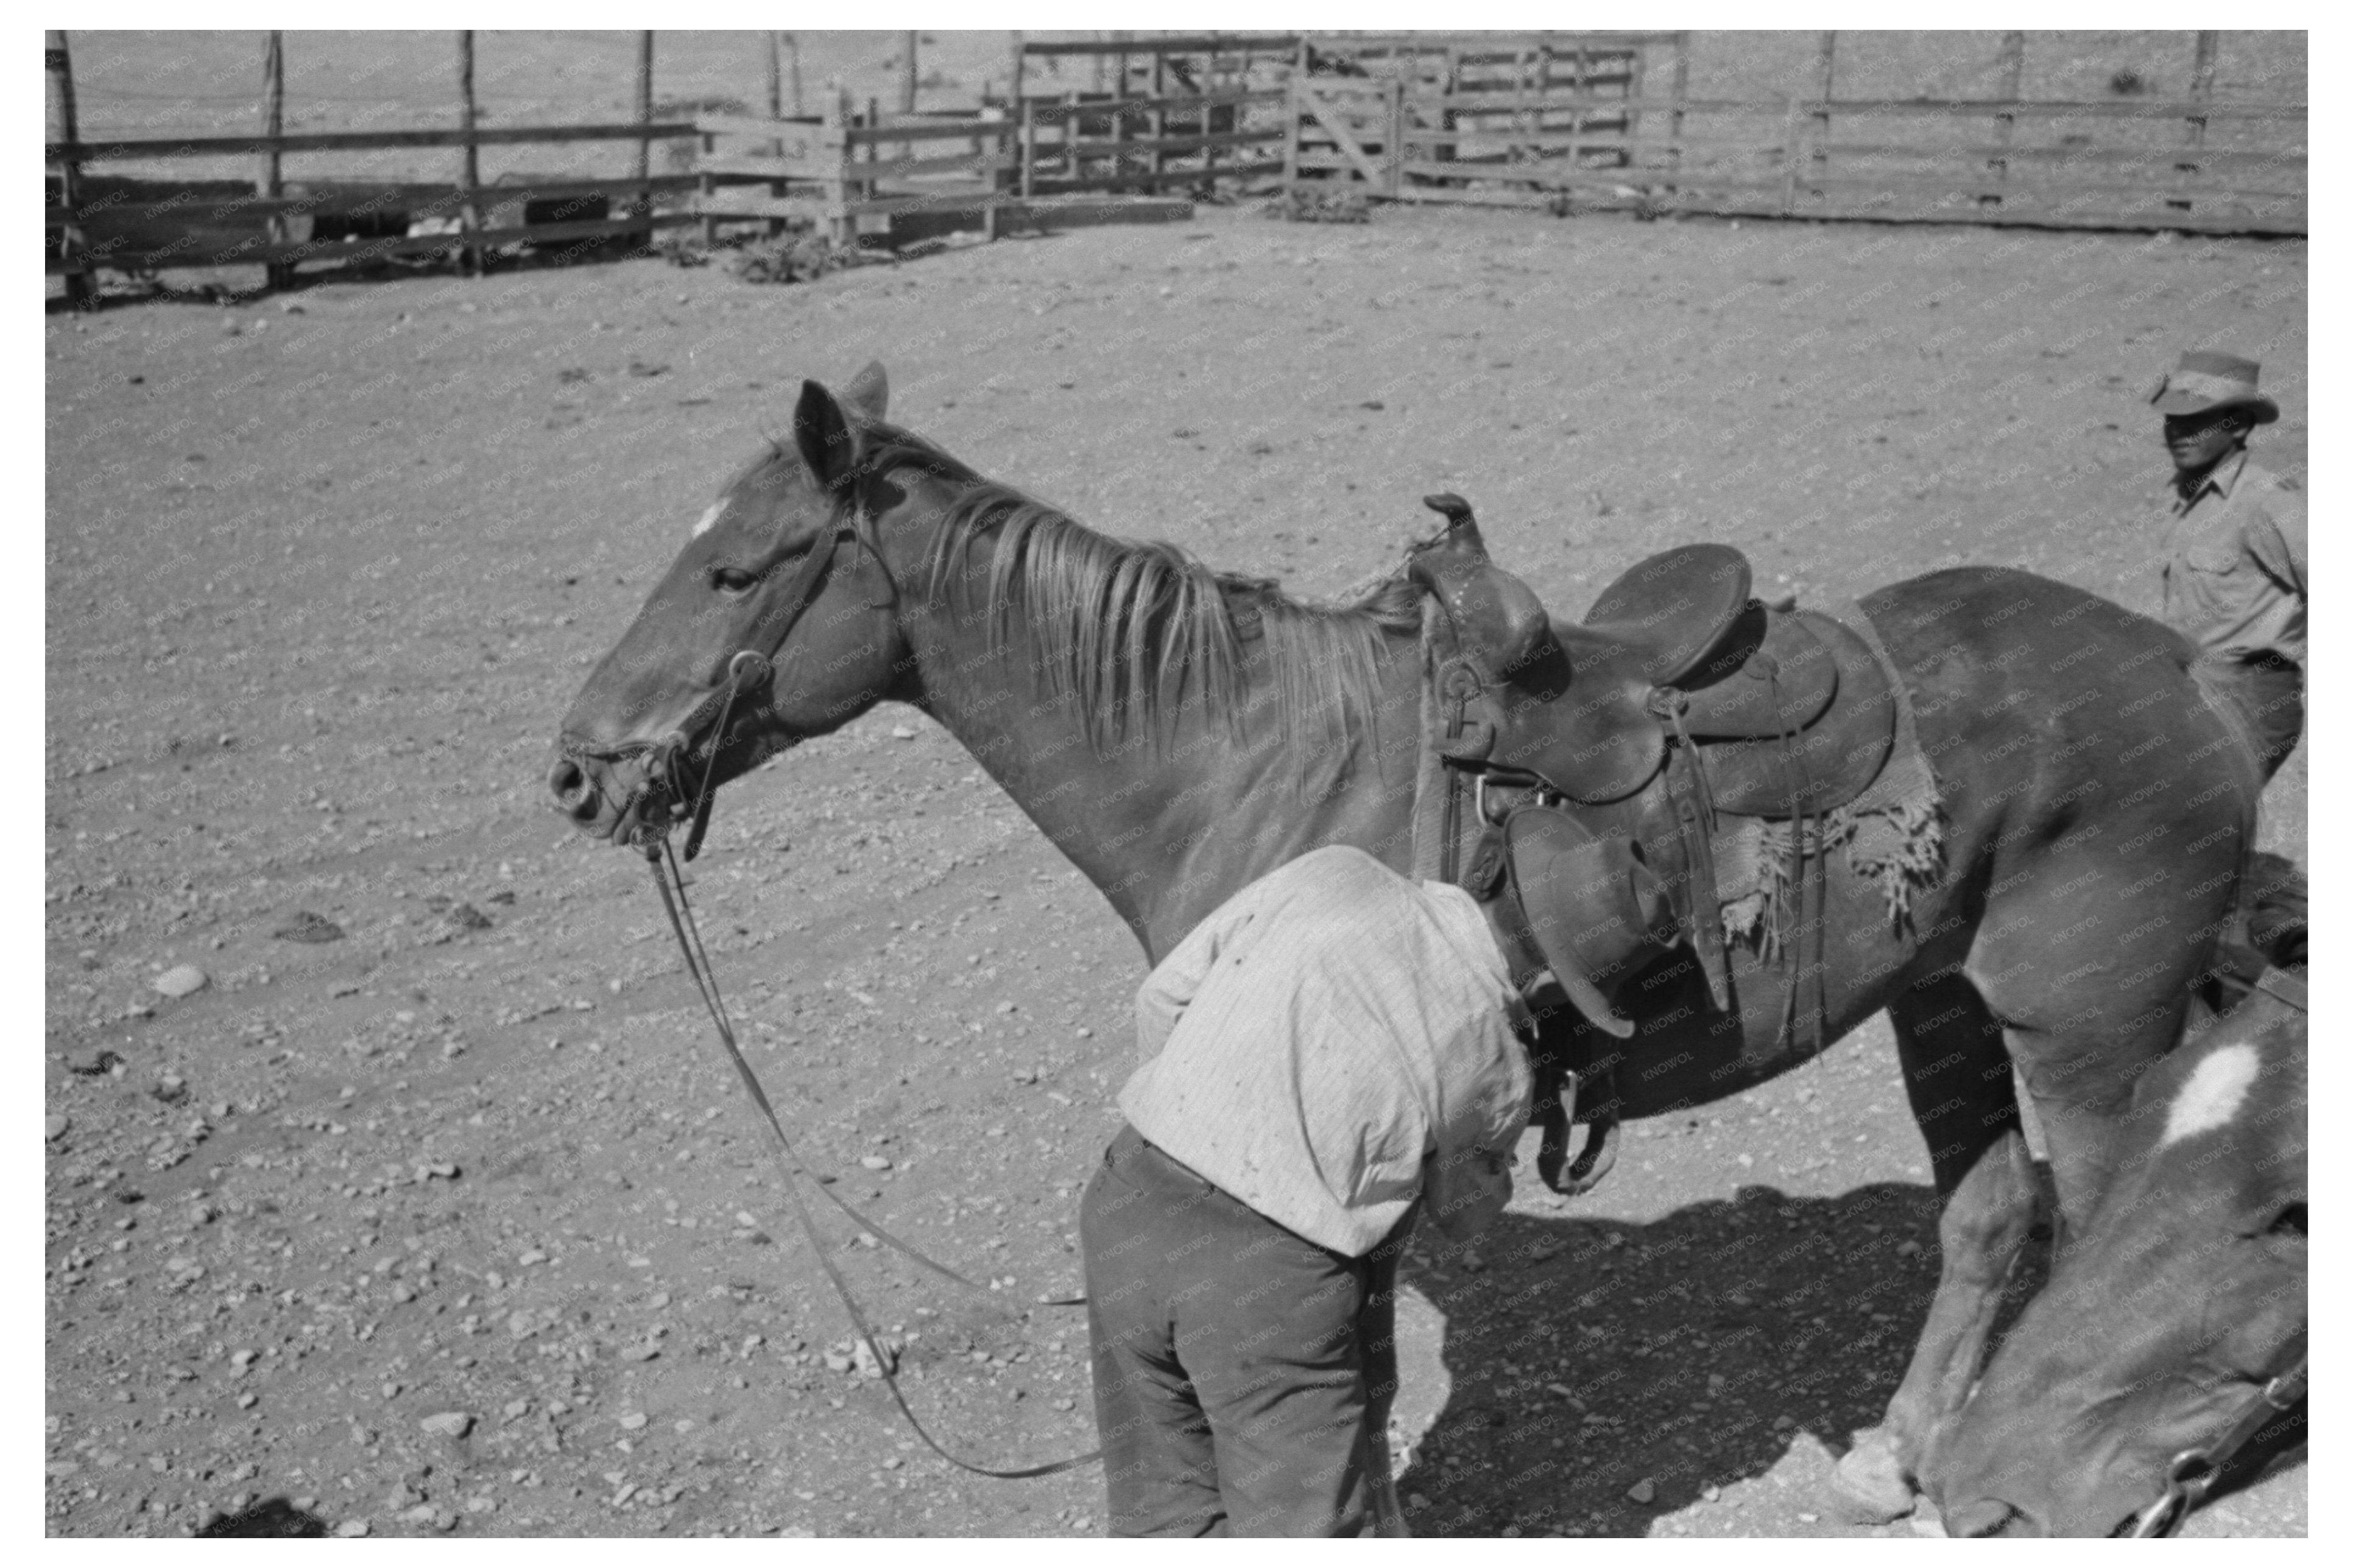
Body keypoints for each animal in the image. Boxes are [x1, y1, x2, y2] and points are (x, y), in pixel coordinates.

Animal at [546, 364, 2259, 1523]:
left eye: (735, 569)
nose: (578, 770)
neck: (1242, 753)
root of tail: (2172, 665)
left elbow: (1352, 1375)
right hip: (1944, 1004)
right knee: (1987, 1218)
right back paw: (1895, 1460)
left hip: (2084, 1028)